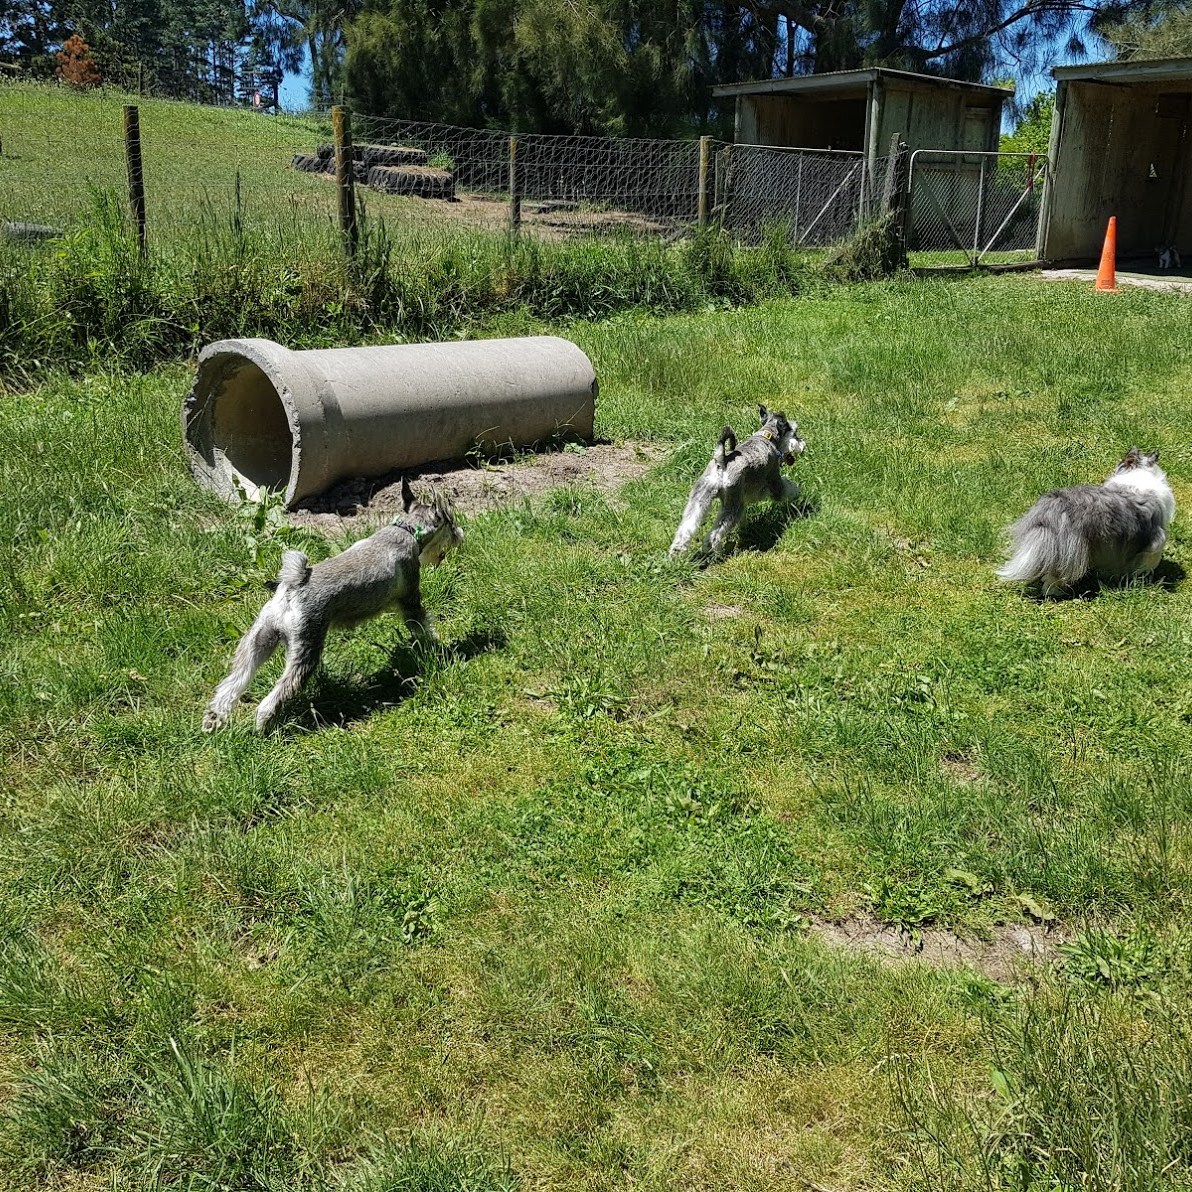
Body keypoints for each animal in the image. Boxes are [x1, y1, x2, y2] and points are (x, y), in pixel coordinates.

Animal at [203, 477, 464, 731]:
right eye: (450, 522)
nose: (460, 534)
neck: (407, 530)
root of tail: (292, 586)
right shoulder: (410, 598)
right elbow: (422, 626)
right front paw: (437, 648)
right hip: (306, 647)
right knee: (277, 694)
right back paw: (263, 726)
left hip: (259, 639)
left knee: (233, 682)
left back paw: (214, 719)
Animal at [669, 406, 806, 556]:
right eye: (795, 432)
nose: (802, 443)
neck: (766, 437)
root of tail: (722, 461)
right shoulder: (774, 482)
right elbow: (787, 487)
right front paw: (797, 493)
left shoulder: (744, 495)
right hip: (733, 504)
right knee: (715, 534)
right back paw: (716, 551)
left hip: (700, 498)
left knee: (687, 526)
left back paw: (677, 551)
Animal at [996, 447, 1175, 597]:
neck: (1141, 473)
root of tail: (1052, 506)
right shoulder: (1153, 544)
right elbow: (1145, 564)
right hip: (1071, 549)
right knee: (1055, 576)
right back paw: (1055, 592)